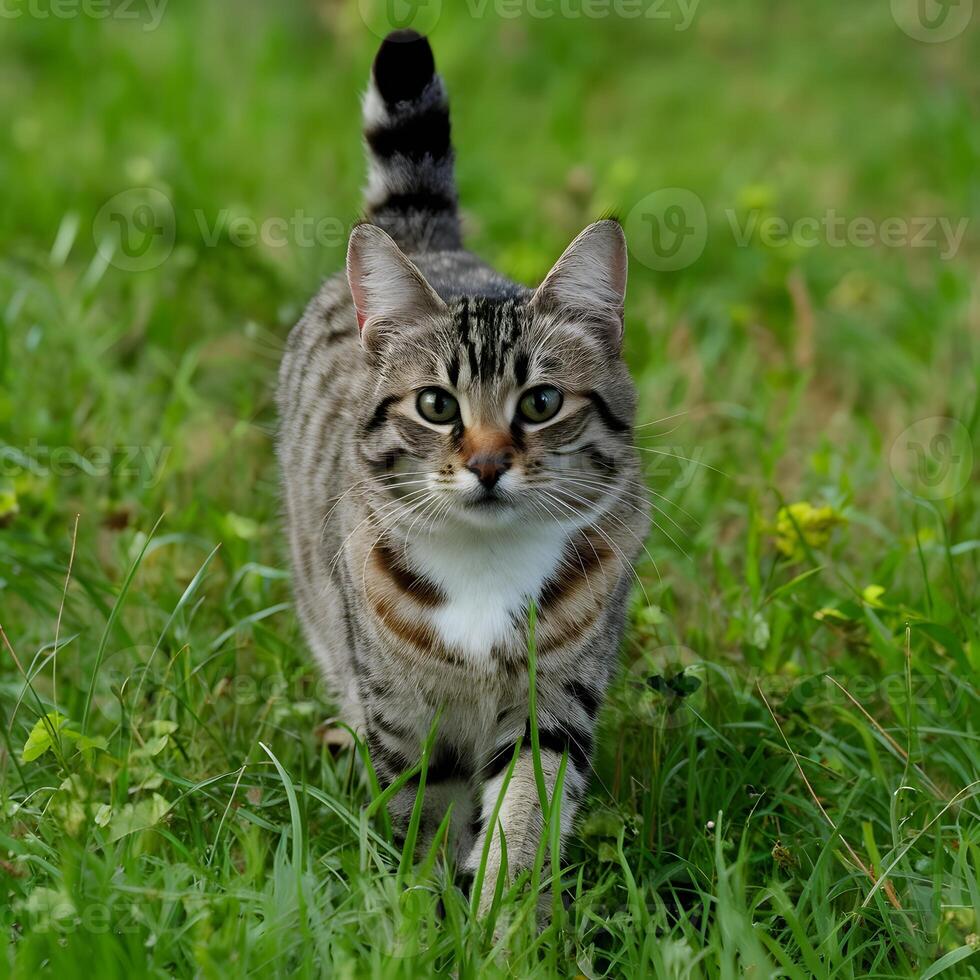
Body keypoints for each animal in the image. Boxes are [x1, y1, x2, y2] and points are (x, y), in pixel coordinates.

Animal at [278, 28, 652, 912]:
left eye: (542, 401)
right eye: (436, 405)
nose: (485, 464)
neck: (484, 565)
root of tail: (432, 243)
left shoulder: (554, 701)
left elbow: (524, 817)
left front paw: (503, 923)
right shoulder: (403, 713)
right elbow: (425, 816)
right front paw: (424, 914)